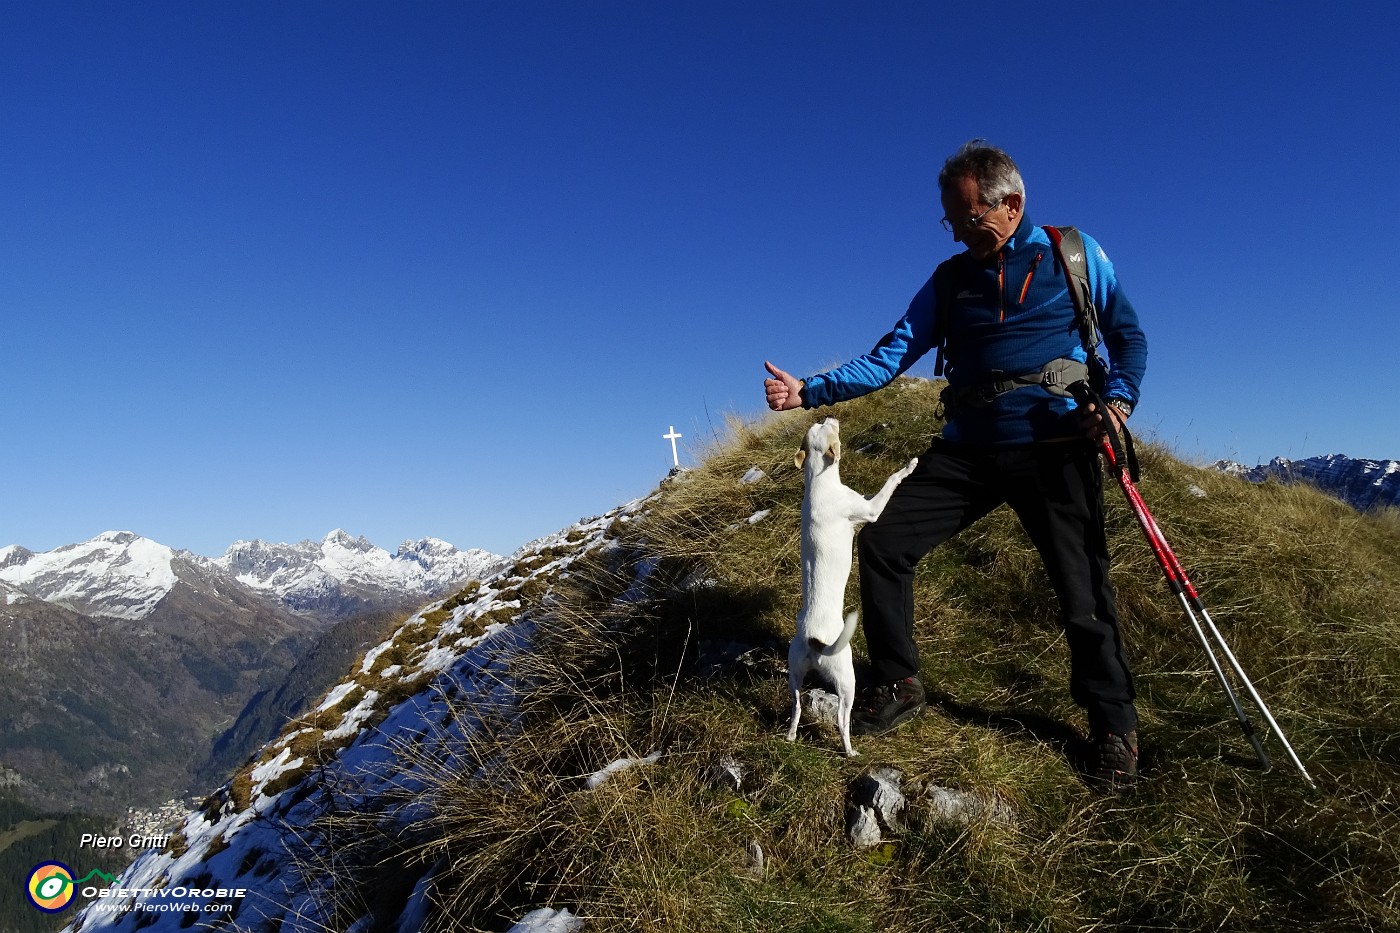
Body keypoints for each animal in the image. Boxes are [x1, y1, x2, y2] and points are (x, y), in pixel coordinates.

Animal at [789, 417, 918, 750]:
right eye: (828, 427)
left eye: (818, 424)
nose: (830, 416)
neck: (818, 482)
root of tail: (814, 641)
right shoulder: (870, 510)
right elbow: (891, 480)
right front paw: (908, 466)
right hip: (846, 678)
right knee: (841, 719)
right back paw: (849, 750)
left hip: (794, 674)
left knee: (795, 708)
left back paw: (791, 735)